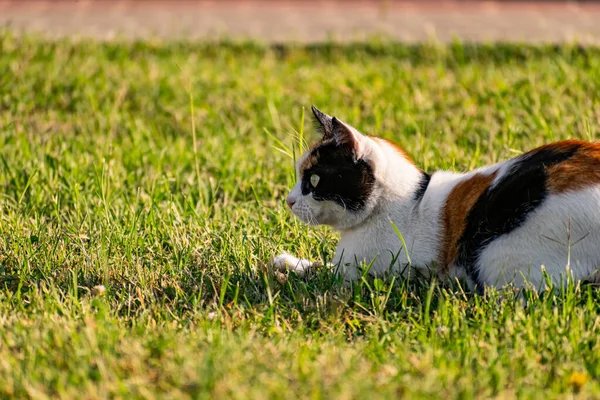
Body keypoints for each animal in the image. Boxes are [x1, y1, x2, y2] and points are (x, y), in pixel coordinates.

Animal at [270, 103, 600, 290]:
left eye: (313, 180)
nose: (288, 200)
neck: (408, 201)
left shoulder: (368, 272)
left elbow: (323, 272)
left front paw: (287, 266)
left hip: (496, 258)